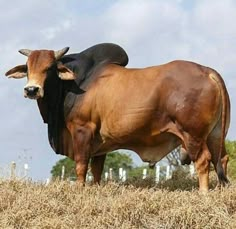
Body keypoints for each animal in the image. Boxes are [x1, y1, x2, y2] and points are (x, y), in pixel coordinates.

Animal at [6, 43, 230, 191]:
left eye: (50, 68)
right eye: (28, 68)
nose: (32, 90)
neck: (76, 82)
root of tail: (208, 71)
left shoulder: (82, 130)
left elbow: (81, 165)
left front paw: (79, 190)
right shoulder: (100, 144)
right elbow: (96, 170)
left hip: (192, 135)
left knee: (203, 161)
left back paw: (203, 193)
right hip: (215, 134)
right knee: (221, 159)